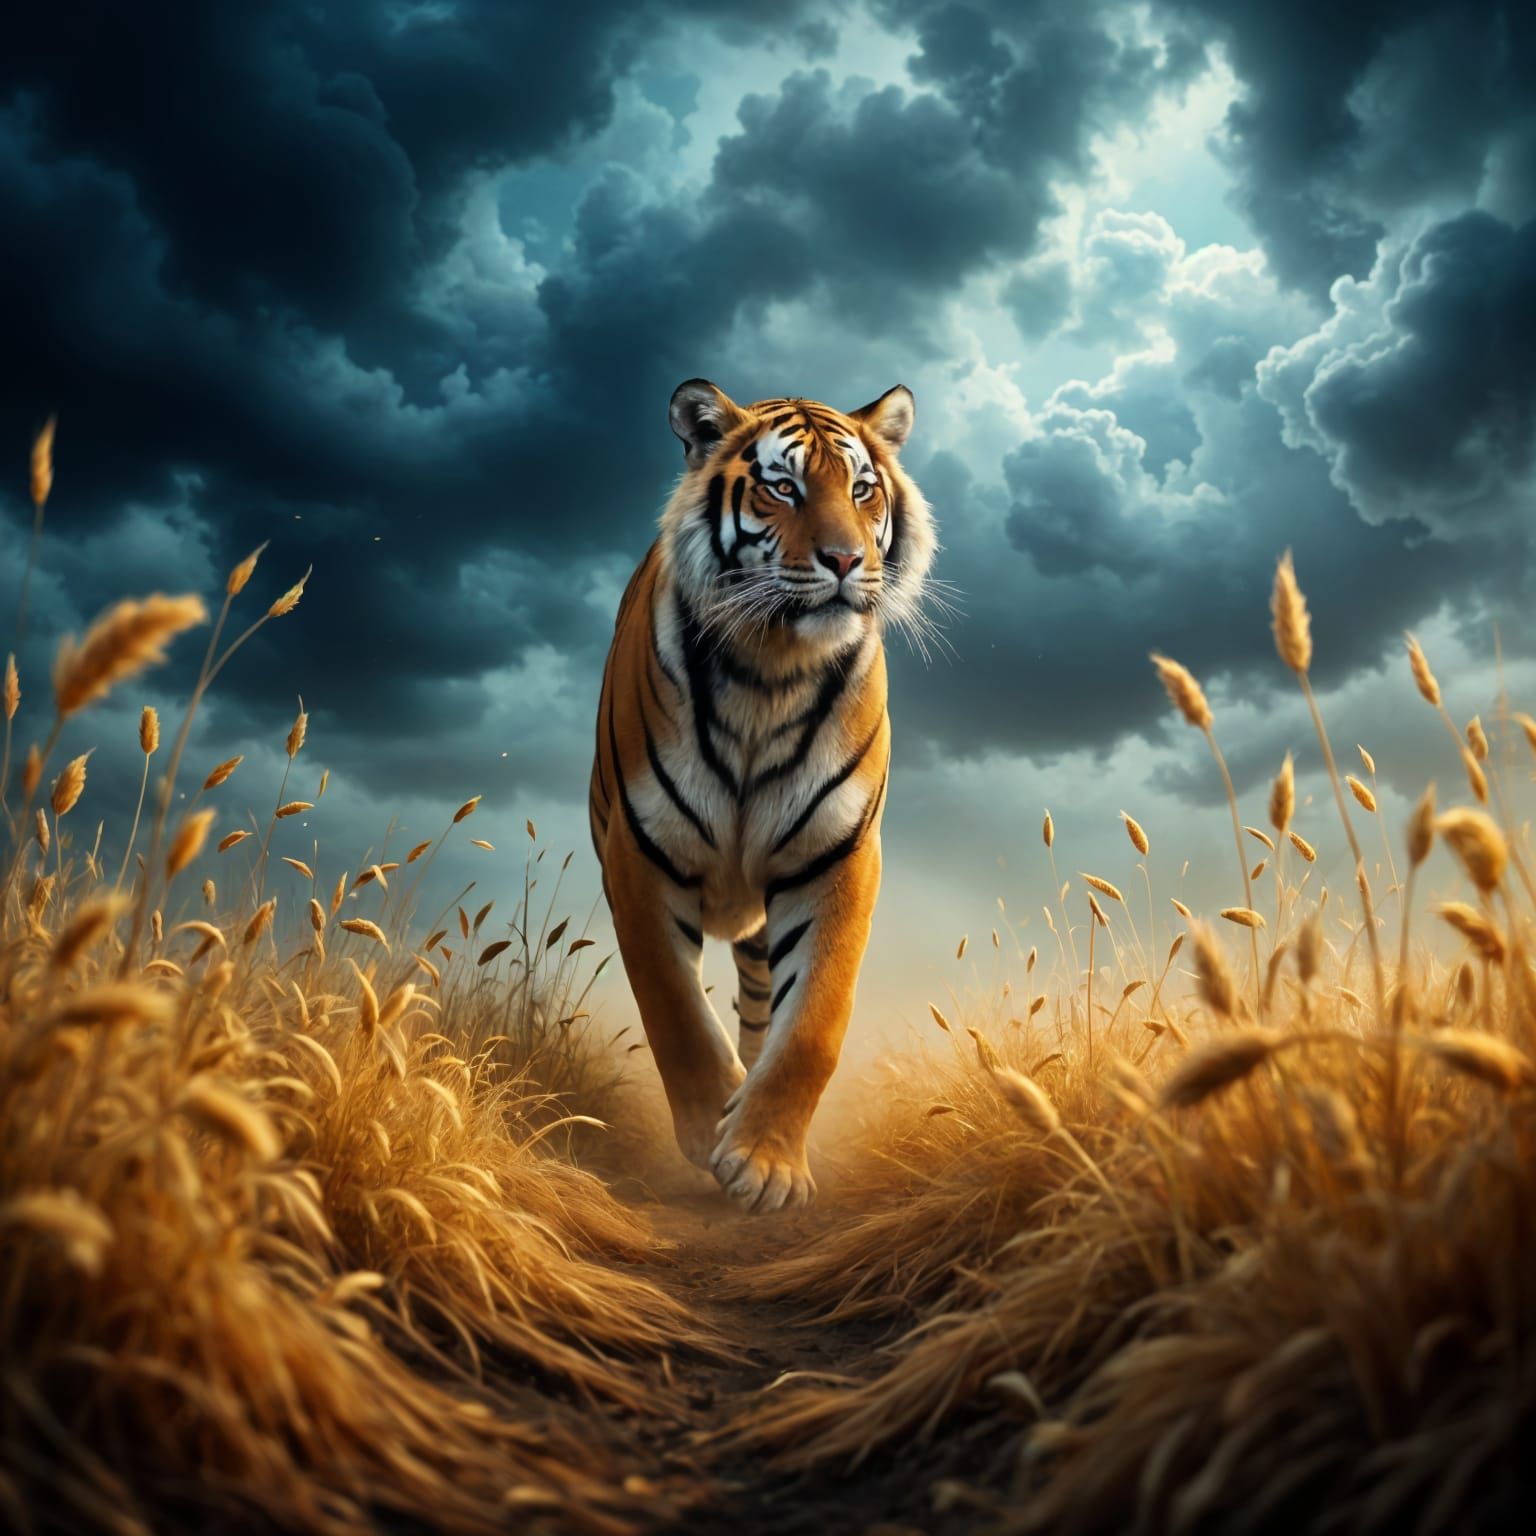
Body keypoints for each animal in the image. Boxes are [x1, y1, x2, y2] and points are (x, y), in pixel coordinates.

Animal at [589, 379, 936, 1213]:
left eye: (862, 489)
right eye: (784, 487)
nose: (845, 559)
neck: (770, 669)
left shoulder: (837, 855)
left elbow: (812, 1021)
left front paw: (763, 1159)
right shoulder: (639, 850)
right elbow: (673, 1005)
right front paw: (707, 1124)